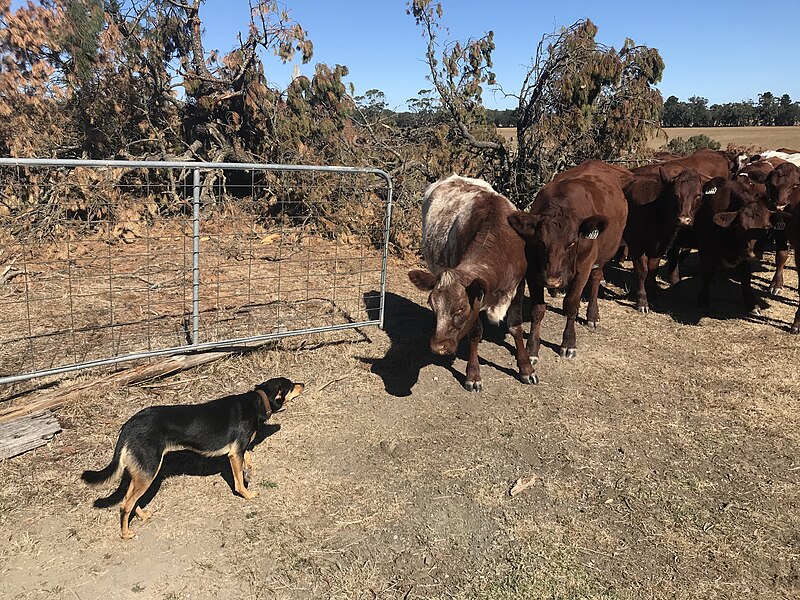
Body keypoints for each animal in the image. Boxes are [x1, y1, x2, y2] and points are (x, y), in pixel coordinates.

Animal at [82, 376, 304, 540]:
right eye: (291, 385)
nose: (304, 384)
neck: (257, 401)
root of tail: (129, 424)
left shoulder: (240, 450)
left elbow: (249, 461)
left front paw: (250, 472)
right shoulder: (235, 453)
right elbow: (239, 481)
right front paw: (247, 495)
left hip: (142, 471)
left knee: (130, 499)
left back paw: (143, 515)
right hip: (150, 470)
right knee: (124, 504)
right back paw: (125, 533)